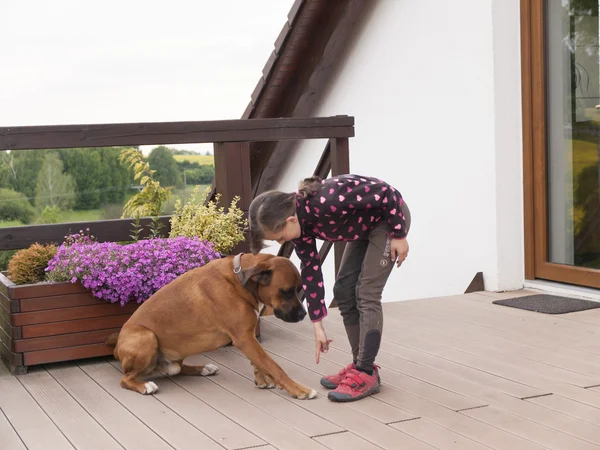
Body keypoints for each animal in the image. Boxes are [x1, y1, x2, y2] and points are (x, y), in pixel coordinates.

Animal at [106, 253, 318, 400]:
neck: (240, 281)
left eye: (299, 290)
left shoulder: (248, 337)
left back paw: (202, 369)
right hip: (146, 337)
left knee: (178, 368)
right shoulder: (244, 338)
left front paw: (262, 379)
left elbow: (259, 361)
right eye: (286, 291)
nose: (303, 314)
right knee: (126, 378)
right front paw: (298, 389)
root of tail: (117, 347)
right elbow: (273, 365)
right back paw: (144, 386)